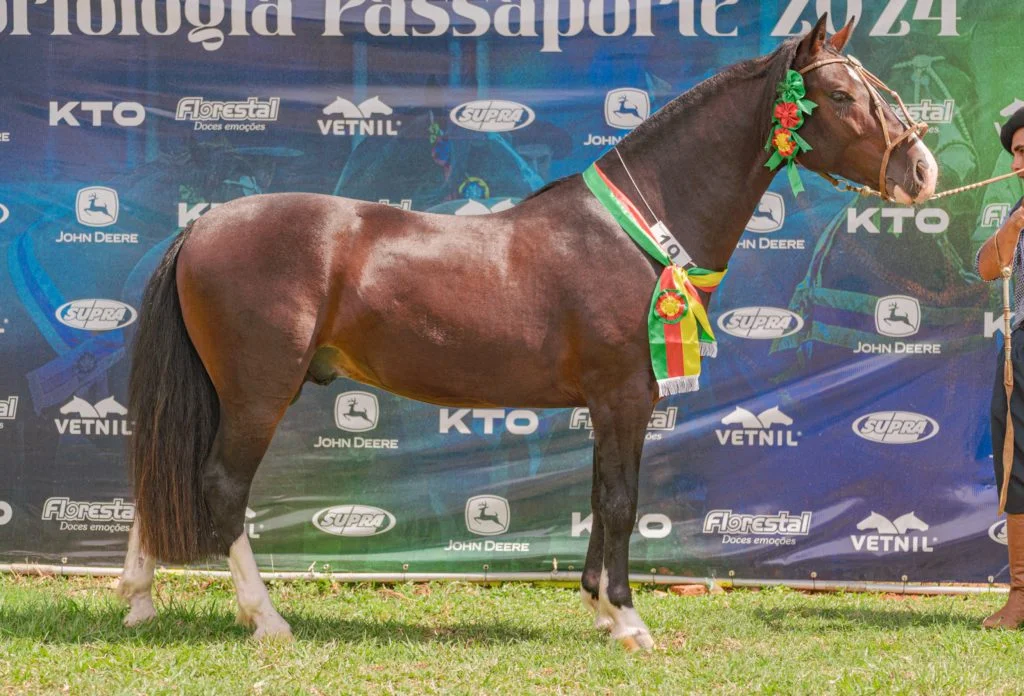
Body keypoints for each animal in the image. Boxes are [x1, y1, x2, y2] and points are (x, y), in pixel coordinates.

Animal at [117, 15, 938, 651]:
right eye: (840, 95)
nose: (923, 170)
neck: (635, 234)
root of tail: (203, 227)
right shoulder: (624, 397)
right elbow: (620, 501)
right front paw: (628, 621)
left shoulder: (609, 405)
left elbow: (602, 495)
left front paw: (600, 609)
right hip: (259, 391)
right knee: (221, 486)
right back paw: (266, 619)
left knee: (157, 473)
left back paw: (138, 599)